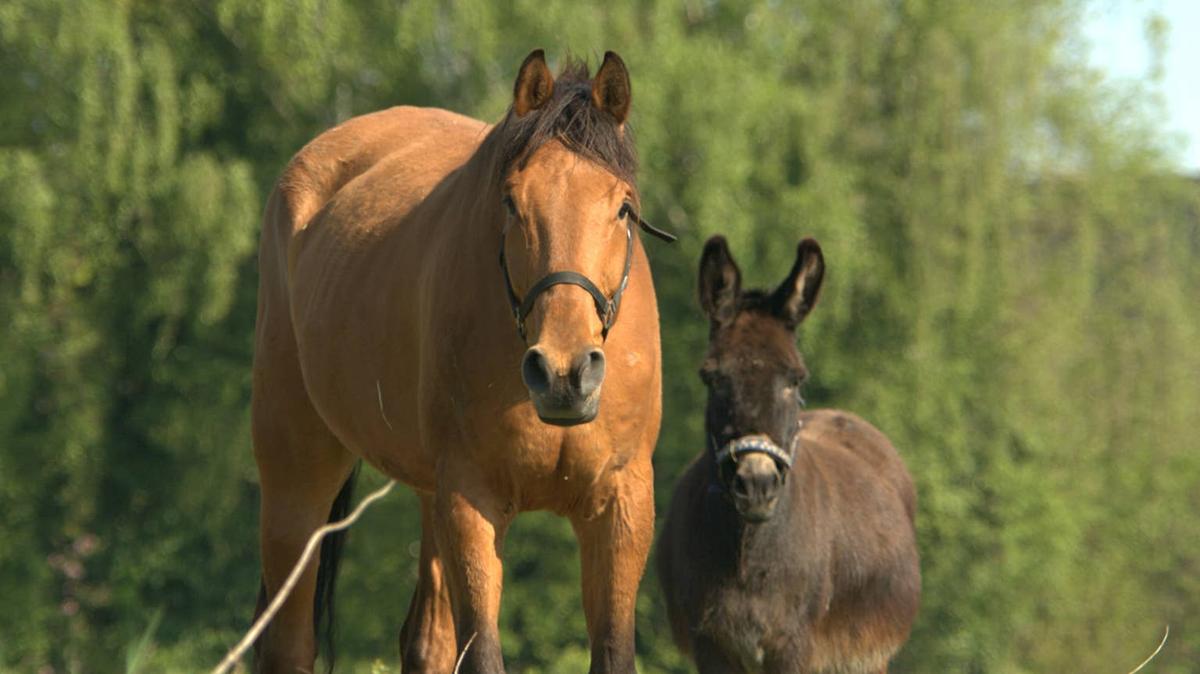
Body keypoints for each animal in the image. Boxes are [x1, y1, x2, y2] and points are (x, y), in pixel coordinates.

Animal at [250, 50, 671, 673]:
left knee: (426, 641)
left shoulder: (622, 507)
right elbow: (483, 651)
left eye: (623, 207)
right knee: (289, 642)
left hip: (430, 495)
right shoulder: (472, 501)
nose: (565, 374)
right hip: (298, 474)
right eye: (511, 203)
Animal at [655, 236, 920, 673]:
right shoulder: (711, 643)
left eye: (795, 379)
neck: (749, 554)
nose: (756, 484)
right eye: (712, 377)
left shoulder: (793, 646)